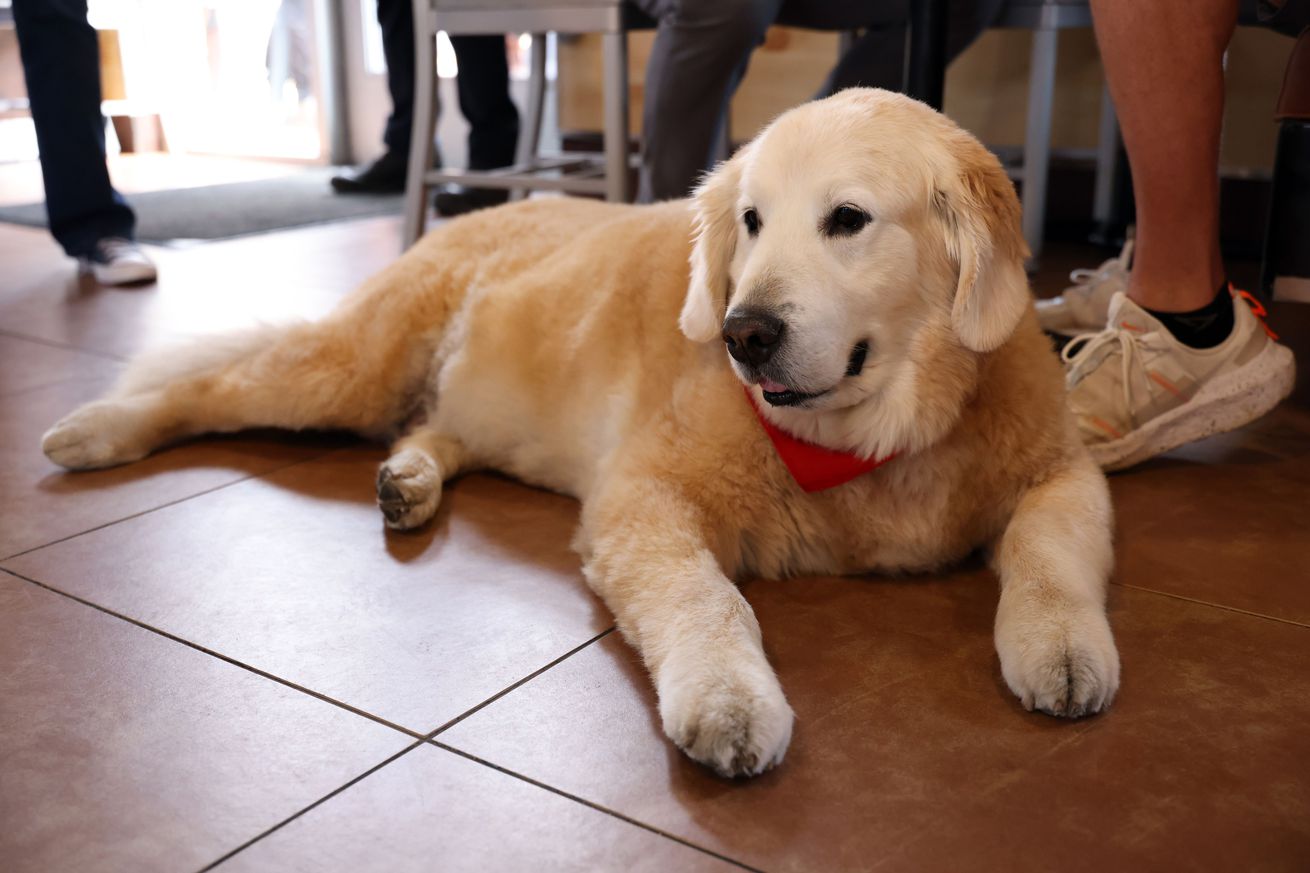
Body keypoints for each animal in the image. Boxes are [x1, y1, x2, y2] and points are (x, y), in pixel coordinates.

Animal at [46, 91, 1121, 776]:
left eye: (847, 220)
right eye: (751, 222)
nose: (742, 333)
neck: (862, 442)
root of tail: (480, 206)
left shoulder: (1062, 470)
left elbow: (1051, 554)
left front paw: (1063, 648)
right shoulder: (643, 500)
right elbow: (709, 600)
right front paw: (729, 701)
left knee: (434, 429)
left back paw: (409, 479)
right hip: (345, 370)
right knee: (209, 384)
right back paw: (96, 427)